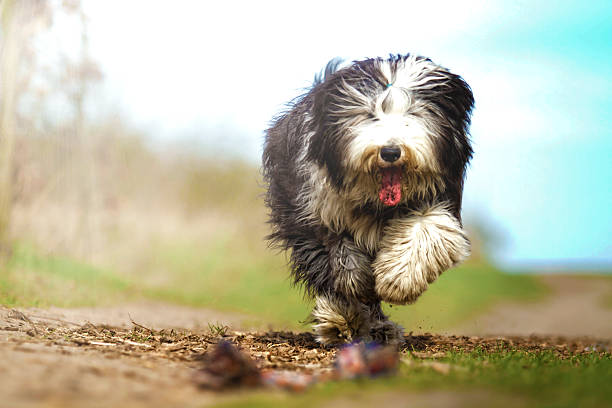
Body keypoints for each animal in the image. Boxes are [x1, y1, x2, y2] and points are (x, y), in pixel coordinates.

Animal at [262, 54, 474, 346]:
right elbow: (336, 258)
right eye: (369, 114)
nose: (390, 151)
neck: (377, 202)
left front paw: (399, 280)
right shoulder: (312, 209)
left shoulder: (438, 197)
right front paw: (343, 311)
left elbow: (428, 229)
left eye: (414, 113)